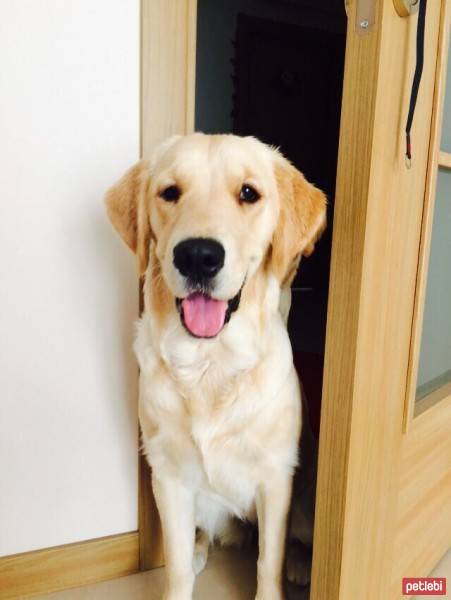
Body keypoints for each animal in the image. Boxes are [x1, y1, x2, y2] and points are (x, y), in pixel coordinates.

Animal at [106, 132, 324, 600]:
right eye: (170, 192)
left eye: (248, 193)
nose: (197, 256)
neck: (210, 365)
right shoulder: (167, 477)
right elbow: (175, 566)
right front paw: (181, 577)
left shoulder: (276, 478)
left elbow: (268, 562)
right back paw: (201, 549)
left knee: (291, 541)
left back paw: (301, 565)